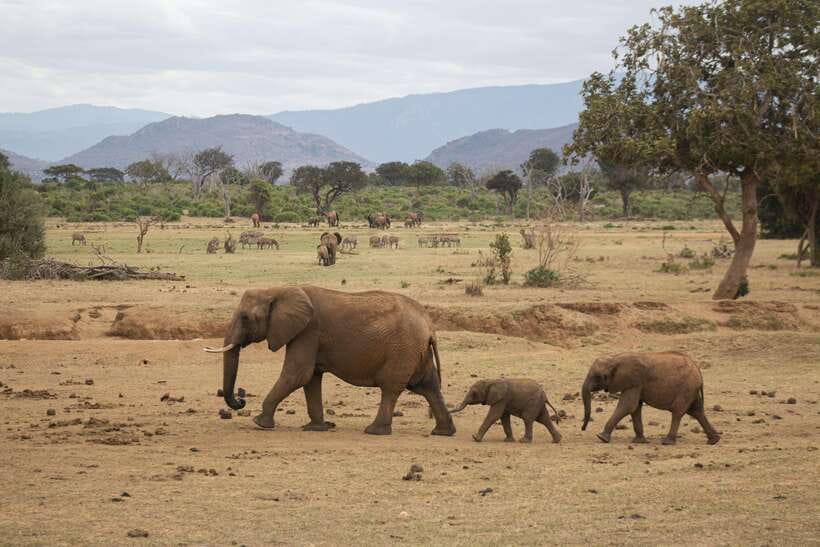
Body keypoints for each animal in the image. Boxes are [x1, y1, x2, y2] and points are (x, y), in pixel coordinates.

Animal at [204, 285, 457, 437]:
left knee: (391, 388)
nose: (241, 401)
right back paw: (443, 432)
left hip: (402, 350)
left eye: (245, 318)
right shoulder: (308, 337)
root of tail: (430, 326)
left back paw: (374, 431)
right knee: (428, 386)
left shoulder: (308, 331)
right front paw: (316, 428)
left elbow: (297, 374)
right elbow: (310, 378)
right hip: (416, 352)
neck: (279, 289)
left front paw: (259, 422)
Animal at [581, 352, 720, 445]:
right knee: (697, 411)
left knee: (678, 412)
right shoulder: (636, 384)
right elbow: (635, 408)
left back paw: (667, 442)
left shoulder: (635, 382)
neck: (615, 359)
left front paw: (601, 438)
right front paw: (639, 441)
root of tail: (699, 372)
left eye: (598, 376)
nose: (583, 428)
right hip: (691, 390)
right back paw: (714, 441)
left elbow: (628, 406)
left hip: (686, 389)